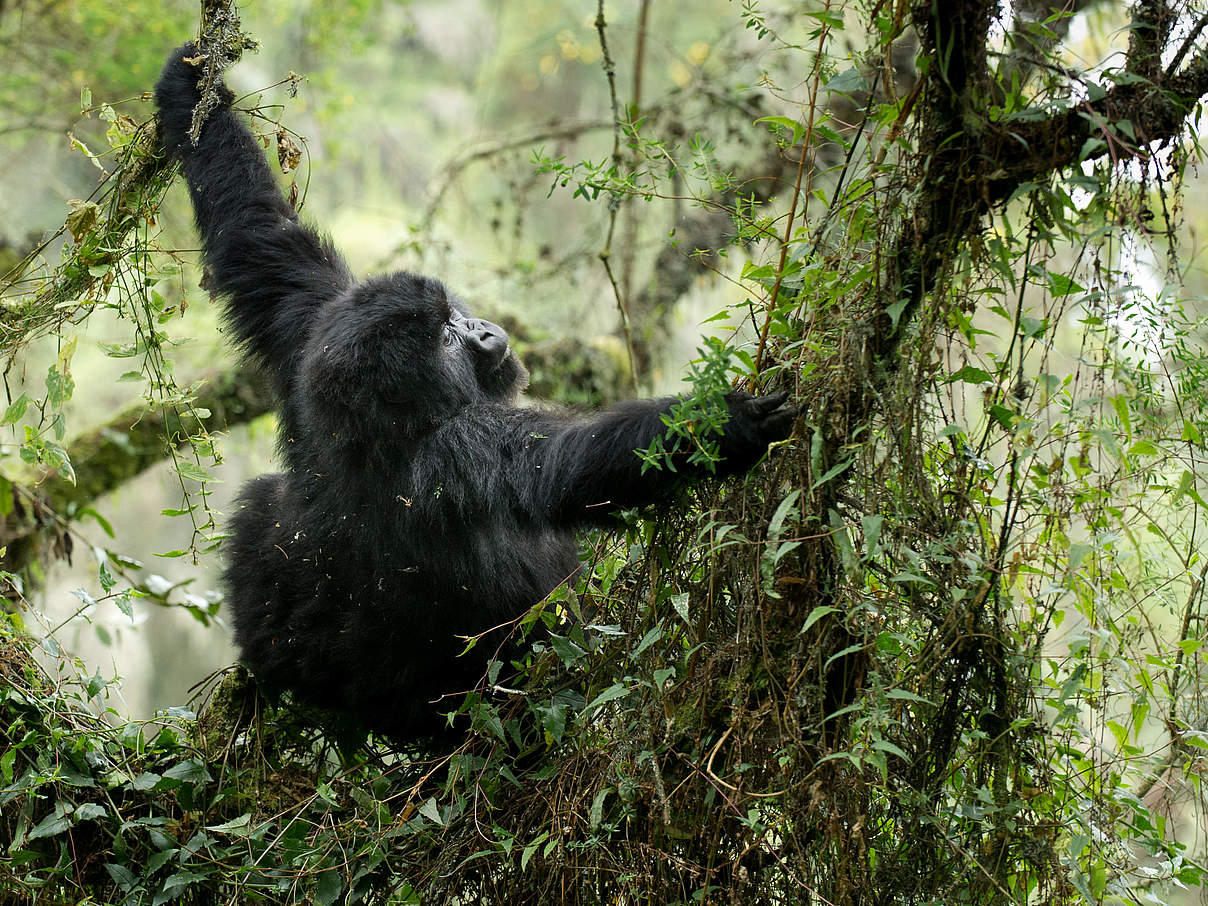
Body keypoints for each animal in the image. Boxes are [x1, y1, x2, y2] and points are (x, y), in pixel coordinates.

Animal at [155, 44, 797, 744]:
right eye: (445, 335)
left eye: (452, 317)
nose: (483, 328)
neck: (381, 430)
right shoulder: (458, 445)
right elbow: (569, 464)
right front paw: (729, 424)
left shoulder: (313, 330)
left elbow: (259, 238)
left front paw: (192, 82)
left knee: (260, 506)